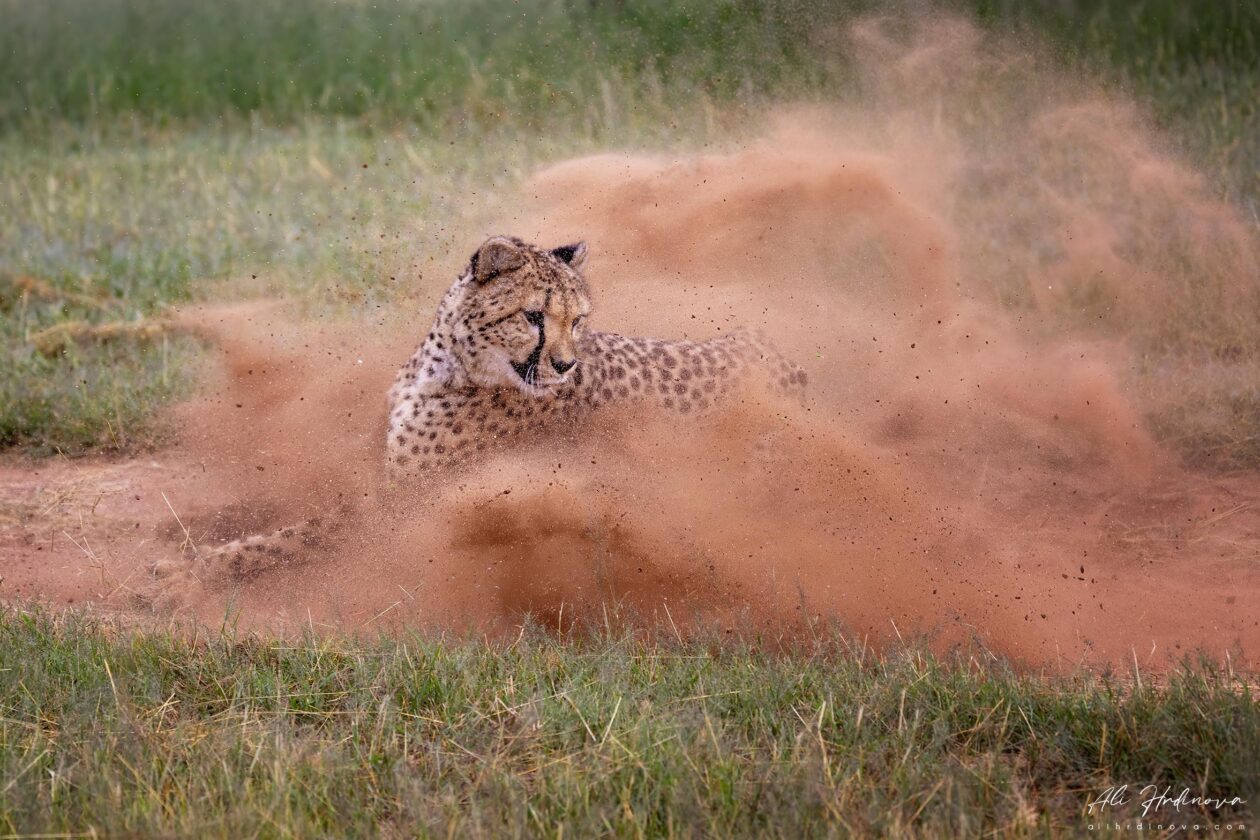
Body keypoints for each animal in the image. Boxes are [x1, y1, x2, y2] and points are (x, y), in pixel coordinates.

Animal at [153, 235, 807, 587]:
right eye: (533, 315)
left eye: (578, 320)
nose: (565, 365)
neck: (448, 364)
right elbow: (277, 509)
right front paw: (187, 529)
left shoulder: (398, 510)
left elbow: (291, 536)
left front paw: (188, 575)